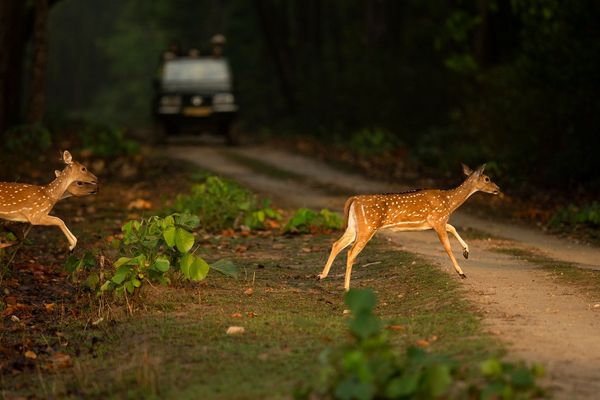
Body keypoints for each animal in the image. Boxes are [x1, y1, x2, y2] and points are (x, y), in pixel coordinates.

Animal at [318, 162, 502, 290]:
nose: (498, 189)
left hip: (354, 227)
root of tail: (354, 199)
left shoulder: (436, 222)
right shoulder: (438, 219)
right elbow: (447, 246)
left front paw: (466, 252)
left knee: (336, 244)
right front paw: (461, 272)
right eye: (487, 178)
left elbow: (453, 228)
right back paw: (346, 287)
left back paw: (321, 275)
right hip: (367, 227)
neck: (449, 202)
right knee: (350, 252)